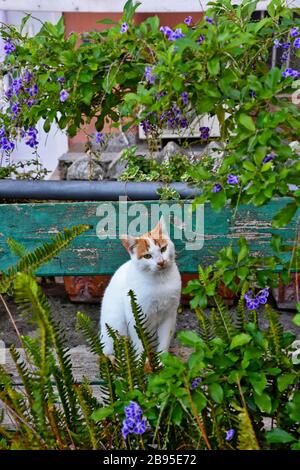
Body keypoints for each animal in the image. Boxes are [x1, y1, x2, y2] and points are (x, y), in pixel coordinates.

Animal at [99, 218, 182, 358]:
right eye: (147, 256)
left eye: (163, 249)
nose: (161, 262)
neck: (161, 280)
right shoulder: (134, 317)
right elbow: (138, 343)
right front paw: (139, 361)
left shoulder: (169, 315)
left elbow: (165, 339)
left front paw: (162, 359)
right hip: (116, 324)